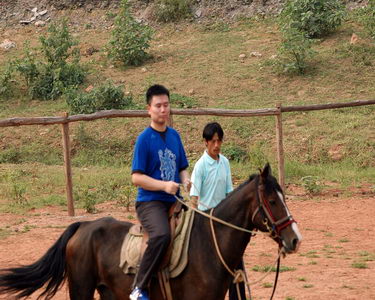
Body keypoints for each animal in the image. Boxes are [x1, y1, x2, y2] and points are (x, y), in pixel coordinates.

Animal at [0, 164, 302, 300]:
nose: (294, 239)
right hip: (81, 289)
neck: (208, 245)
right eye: (272, 201)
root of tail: (83, 226)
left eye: (284, 197)